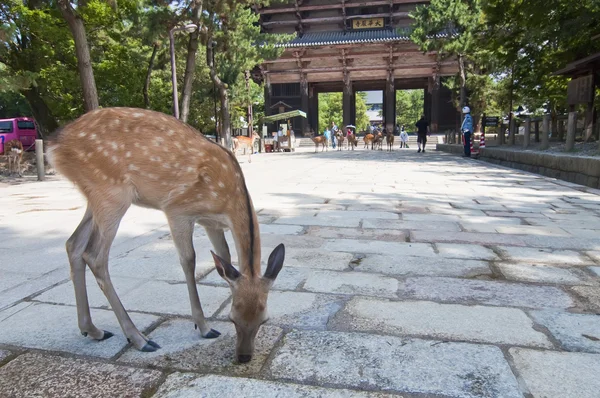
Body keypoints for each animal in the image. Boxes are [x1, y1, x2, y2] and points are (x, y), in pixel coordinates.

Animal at [45, 107, 284, 362]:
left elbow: (225, 258)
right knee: (94, 255)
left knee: (73, 244)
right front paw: (204, 327)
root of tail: (53, 145)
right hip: (112, 192)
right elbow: (189, 261)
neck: (227, 200)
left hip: (95, 196)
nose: (244, 357)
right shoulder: (178, 210)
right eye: (233, 318)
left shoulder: (212, 223)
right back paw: (140, 339)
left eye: (264, 320)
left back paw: (93, 330)